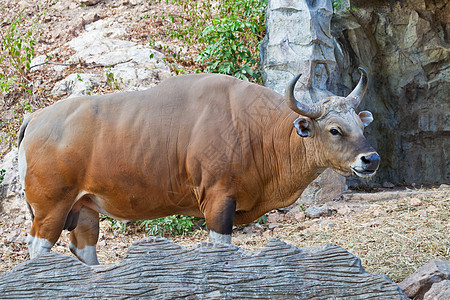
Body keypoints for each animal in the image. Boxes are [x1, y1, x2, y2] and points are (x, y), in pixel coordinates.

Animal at [18, 68, 380, 264]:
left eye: (362, 127)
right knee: (37, 247)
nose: (371, 159)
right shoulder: (219, 201)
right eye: (334, 130)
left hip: (84, 209)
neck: (257, 129)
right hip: (51, 207)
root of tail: (35, 118)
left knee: (84, 249)